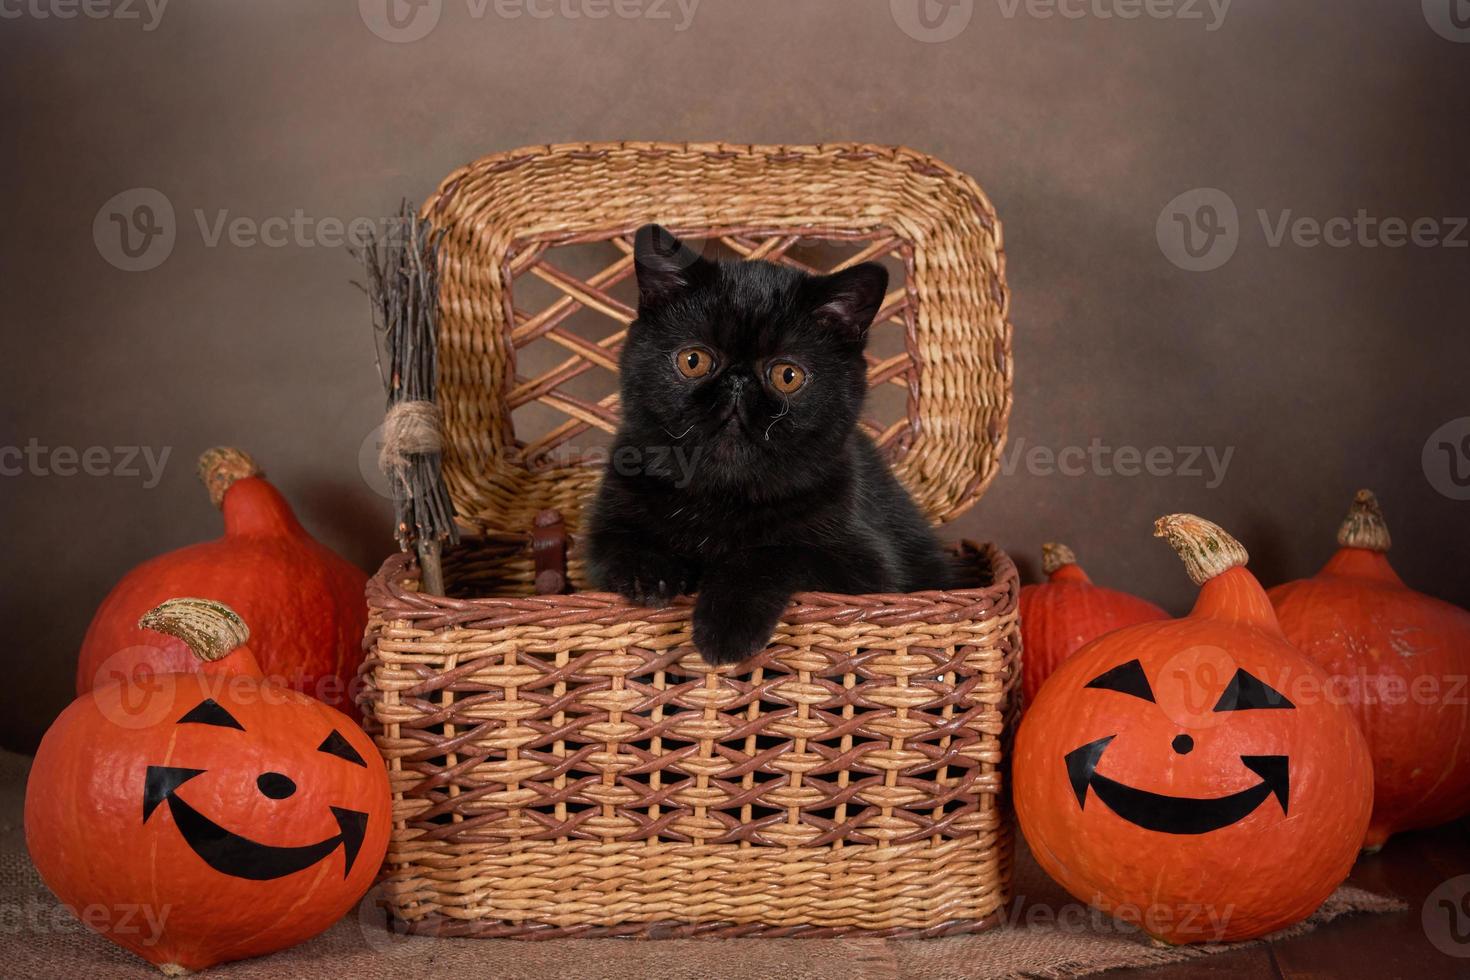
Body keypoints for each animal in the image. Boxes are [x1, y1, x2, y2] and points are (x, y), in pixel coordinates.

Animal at [585, 224, 952, 664]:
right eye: (693, 361)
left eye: (787, 376)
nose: (738, 382)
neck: (722, 494)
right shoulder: (606, 526)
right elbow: (622, 543)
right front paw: (651, 573)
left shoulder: (870, 571)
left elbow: (770, 553)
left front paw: (724, 630)